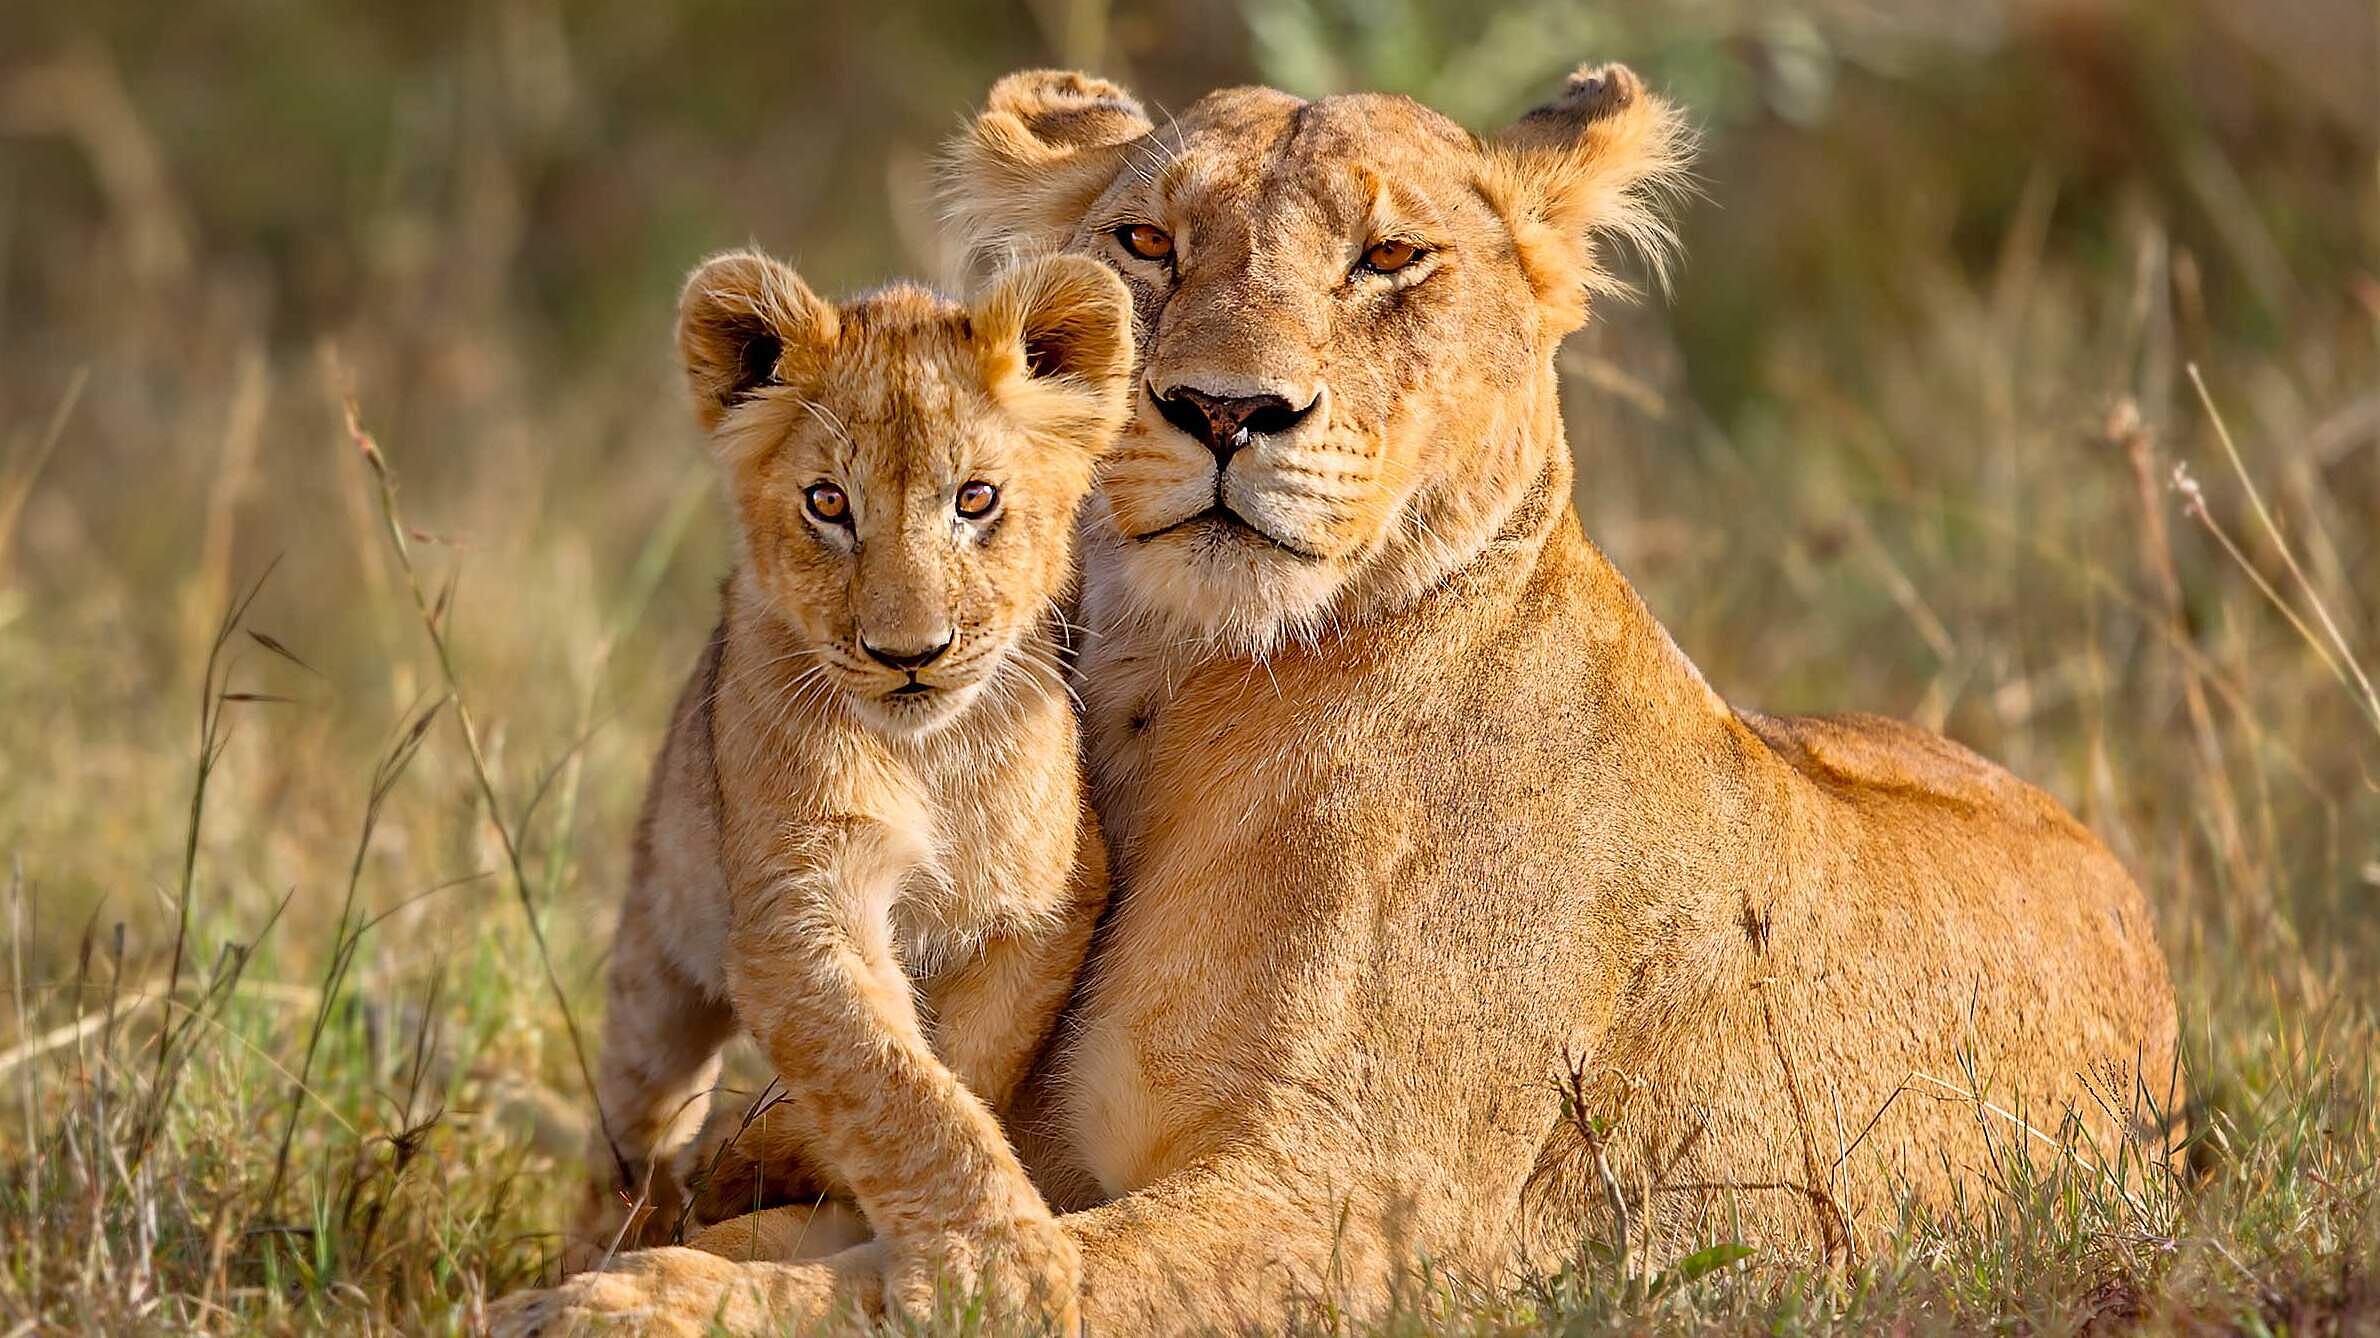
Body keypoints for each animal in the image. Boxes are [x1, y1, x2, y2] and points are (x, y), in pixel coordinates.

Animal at [554, 247, 1133, 1322]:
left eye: (975, 500)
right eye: (828, 504)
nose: (909, 655)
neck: (926, 757)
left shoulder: (1048, 901)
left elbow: (961, 1062)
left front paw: (773, 1154)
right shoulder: (797, 909)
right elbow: (889, 1079)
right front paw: (996, 1268)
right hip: (658, 951)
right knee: (632, 1121)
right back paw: (610, 1230)